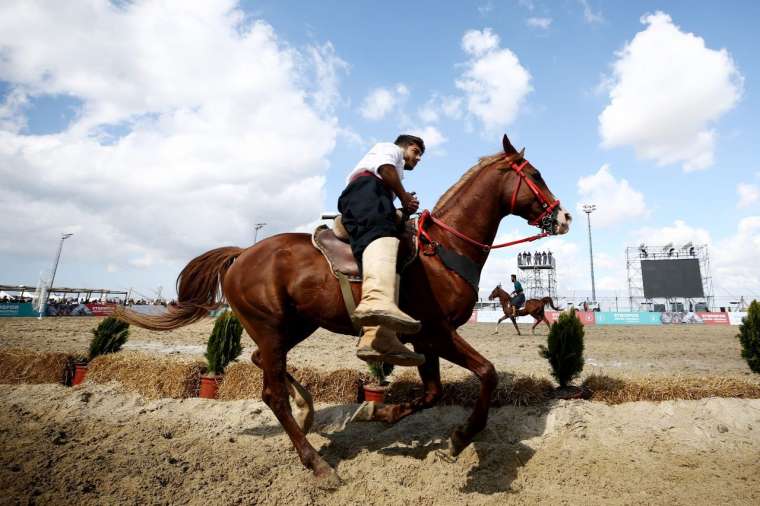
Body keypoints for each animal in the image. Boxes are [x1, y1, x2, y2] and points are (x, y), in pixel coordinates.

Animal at [116, 135, 568, 486]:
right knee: (271, 392)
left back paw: (307, 409)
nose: (563, 216)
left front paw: (377, 411)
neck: (443, 249)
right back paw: (317, 463)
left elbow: (432, 393)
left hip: (296, 326)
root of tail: (243, 253)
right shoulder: (436, 333)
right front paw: (459, 439)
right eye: (536, 175)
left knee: (263, 362)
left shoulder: (425, 341)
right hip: (273, 327)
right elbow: (486, 374)